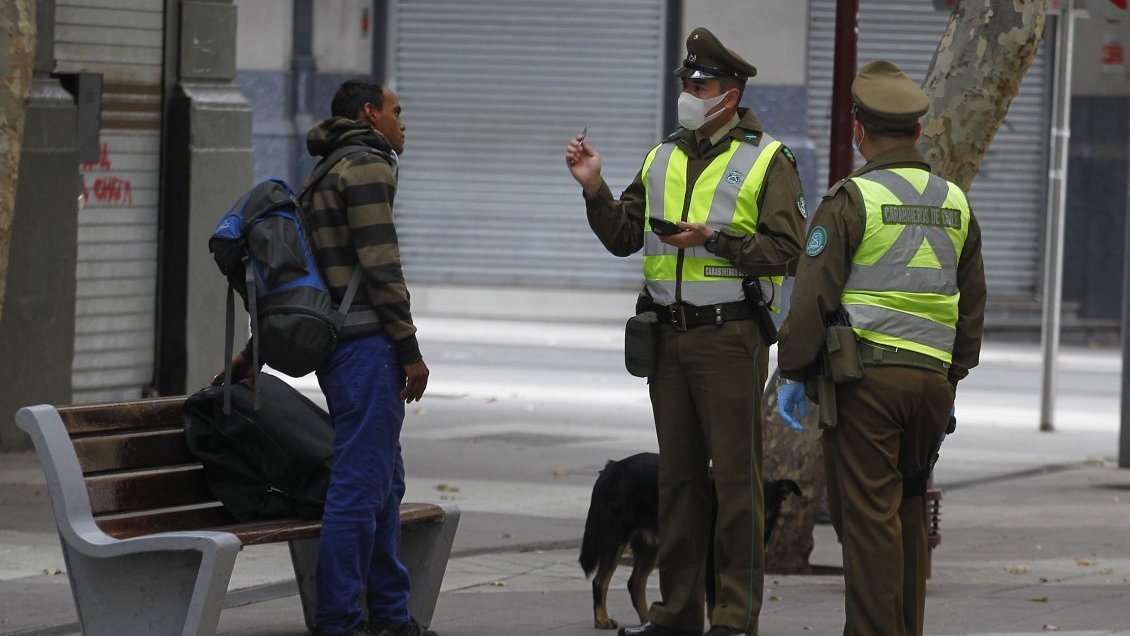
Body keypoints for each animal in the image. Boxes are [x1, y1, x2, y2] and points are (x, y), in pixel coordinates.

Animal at [583, 451, 804, 632]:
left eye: (765, 501)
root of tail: (611, 467)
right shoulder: (711, 565)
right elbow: (714, 602)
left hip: (649, 547)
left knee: (635, 583)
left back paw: (648, 620)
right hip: (614, 539)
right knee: (600, 581)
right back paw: (602, 619)